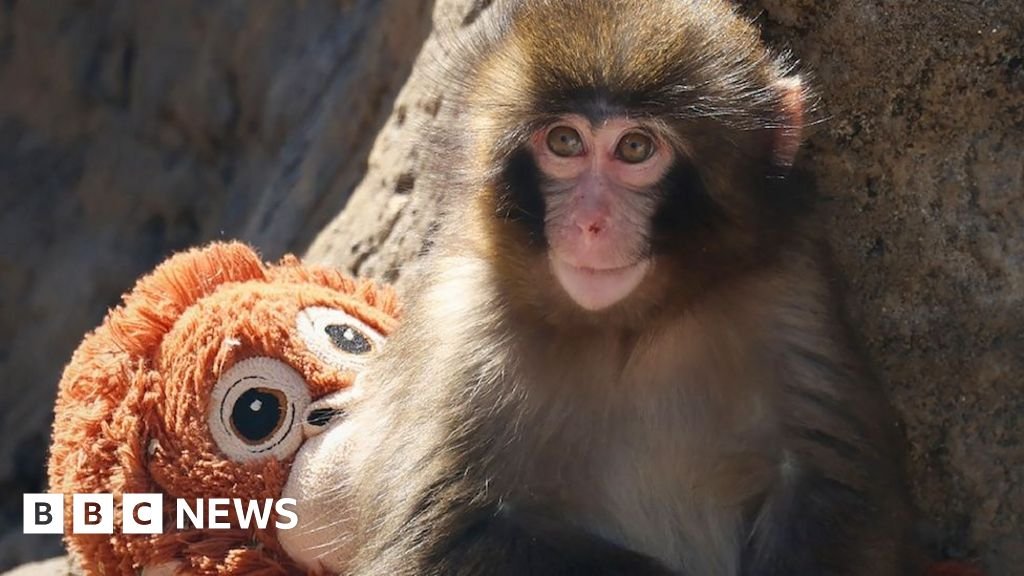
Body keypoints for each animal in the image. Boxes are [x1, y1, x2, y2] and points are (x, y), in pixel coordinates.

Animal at [318, 1, 919, 574]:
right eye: (565, 141)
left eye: (634, 148)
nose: (590, 222)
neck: (626, 327)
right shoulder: (463, 326)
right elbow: (439, 537)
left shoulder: (788, 291)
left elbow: (829, 487)